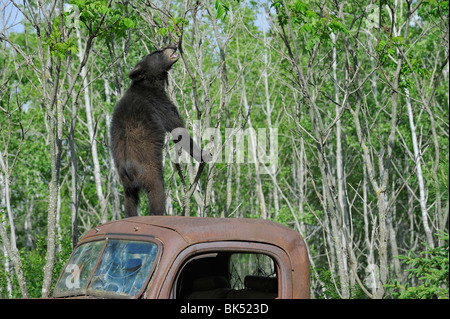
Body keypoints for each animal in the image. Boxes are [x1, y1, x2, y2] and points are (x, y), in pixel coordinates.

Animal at [111, 43, 212, 218]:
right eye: (157, 52)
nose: (172, 45)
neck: (150, 82)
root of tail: (129, 170)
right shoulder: (159, 102)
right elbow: (178, 128)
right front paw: (204, 155)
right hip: (151, 173)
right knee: (157, 192)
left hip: (127, 188)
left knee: (130, 203)